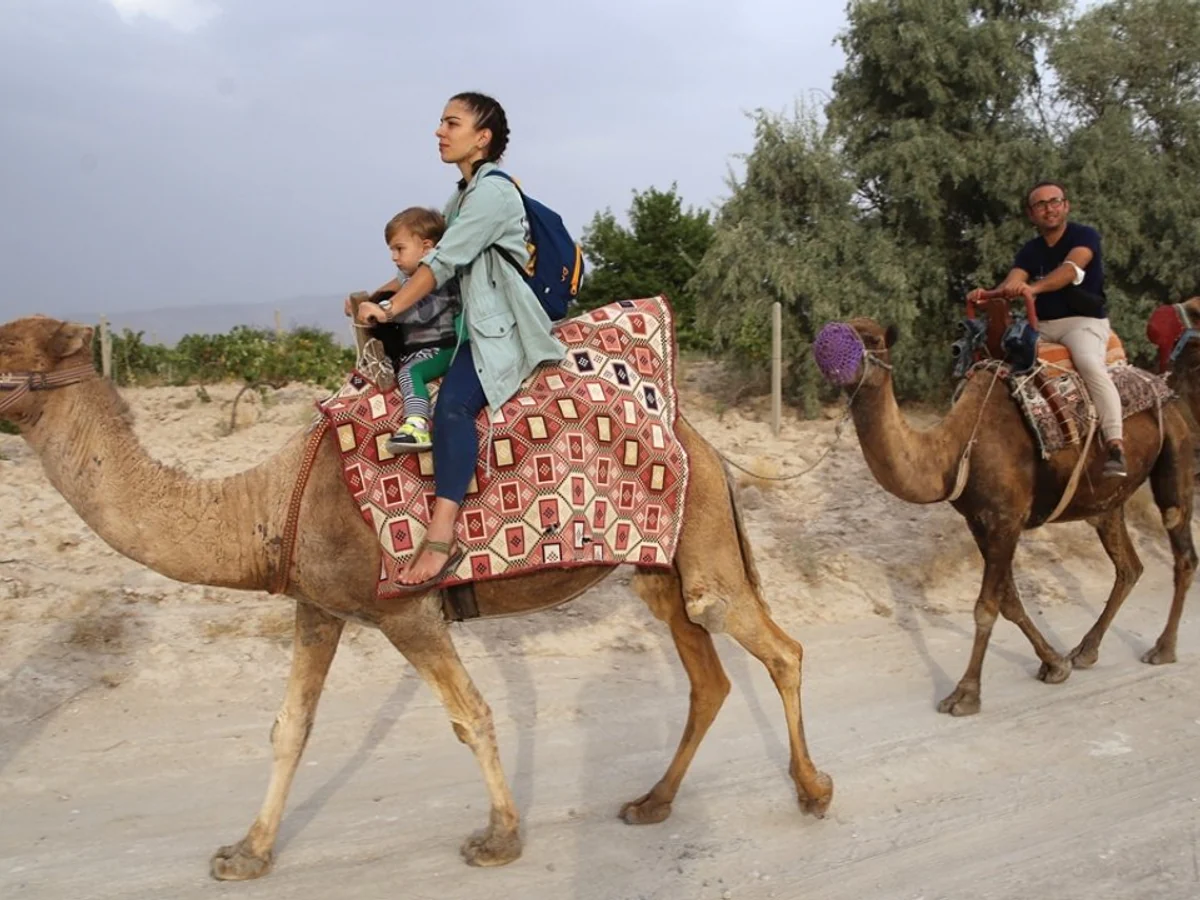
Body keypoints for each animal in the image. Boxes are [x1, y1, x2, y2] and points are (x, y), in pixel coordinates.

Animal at [0, 314, 832, 881]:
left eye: (7, 349)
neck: (266, 506)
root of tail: (711, 446)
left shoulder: (405, 609)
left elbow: (471, 716)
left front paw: (498, 839)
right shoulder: (318, 607)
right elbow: (289, 728)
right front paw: (246, 852)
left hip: (705, 545)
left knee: (776, 646)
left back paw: (814, 791)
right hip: (662, 566)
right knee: (707, 673)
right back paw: (651, 803)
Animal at [817, 317, 1196, 717]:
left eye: (870, 337)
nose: (826, 346)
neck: (954, 449)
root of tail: (1165, 389)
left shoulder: (1006, 520)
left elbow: (987, 607)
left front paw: (965, 695)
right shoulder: (979, 522)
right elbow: (1010, 601)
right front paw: (1055, 665)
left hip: (1175, 452)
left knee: (1181, 546)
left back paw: (1162, 648)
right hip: (1107, 502)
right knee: (1129, 566)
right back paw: (1085, 650)